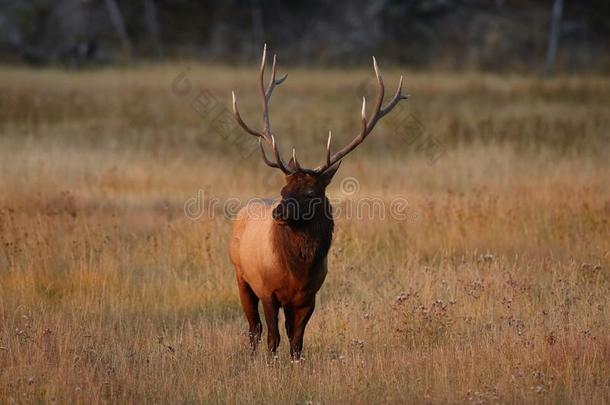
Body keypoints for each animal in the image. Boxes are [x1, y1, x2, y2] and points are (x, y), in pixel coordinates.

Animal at [226, 44, 406, 358]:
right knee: (253, 329)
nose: (278, 212)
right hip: (240, 276)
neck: (296, 273)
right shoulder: (267, 290)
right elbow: (273, 339)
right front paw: (270, 365)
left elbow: (296, 343)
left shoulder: (309, 297)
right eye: (283, 190)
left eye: (311, 194)